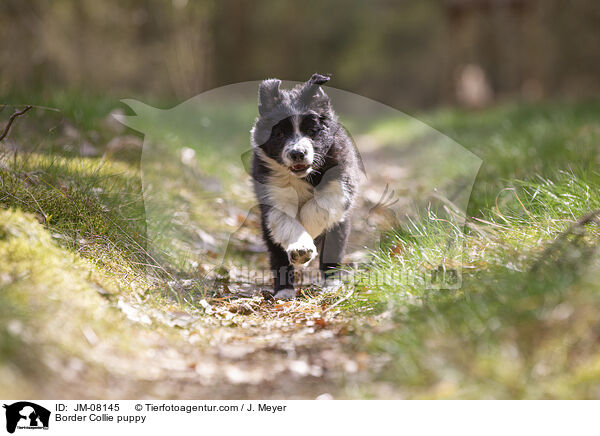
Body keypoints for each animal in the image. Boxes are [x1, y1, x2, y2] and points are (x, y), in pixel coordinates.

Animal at [252, 74, 364, 300]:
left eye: (312, 131)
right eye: (279, 134)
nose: (297, 153)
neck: (302, 177)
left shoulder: (341, 182)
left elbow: (318, 207)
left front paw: (308, 232)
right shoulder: (271, 194)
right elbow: (286, 222)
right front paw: (301, 248)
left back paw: (331, 284)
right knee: (277, 256)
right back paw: (284, 291)